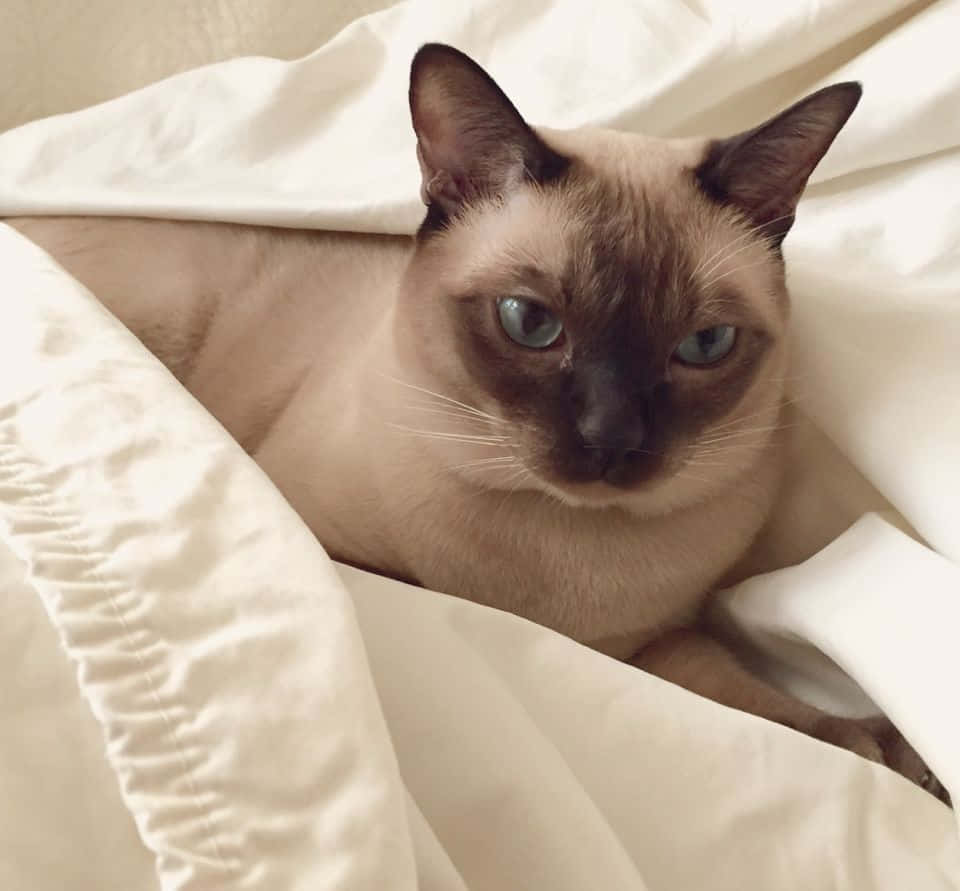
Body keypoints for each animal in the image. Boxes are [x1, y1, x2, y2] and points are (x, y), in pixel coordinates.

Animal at [9, 43, 944, 800]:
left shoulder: (655, 645)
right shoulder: (347, 555)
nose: (611, 439)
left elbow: (772, 708)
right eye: (530, 322)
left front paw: (892, 757)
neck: (563, 577)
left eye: (703, 345)